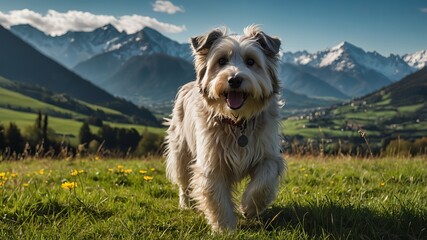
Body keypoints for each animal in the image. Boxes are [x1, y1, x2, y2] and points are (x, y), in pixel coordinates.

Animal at [166, 25, 286, 232]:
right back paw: (185, 204)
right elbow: (217, 197)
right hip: (181, 151)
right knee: (184, 182)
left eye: (251, 61)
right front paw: (225, 227)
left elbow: (264, 181)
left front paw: (249, 207)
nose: (234, 80)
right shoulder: (212, 163)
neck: (237, 124)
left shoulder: (268, 154)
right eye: (221, 61)